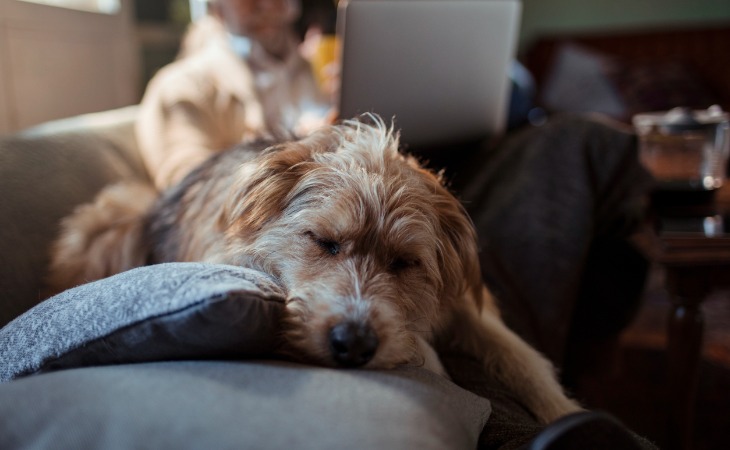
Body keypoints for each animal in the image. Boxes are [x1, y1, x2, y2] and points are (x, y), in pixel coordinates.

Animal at [47, 117, 580, 426]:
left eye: (404, 263)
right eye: (324, 241)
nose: (355, 344)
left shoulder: (465, 305)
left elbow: (522, 356)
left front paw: (566, 412)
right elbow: (431, 355)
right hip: (111, 220)